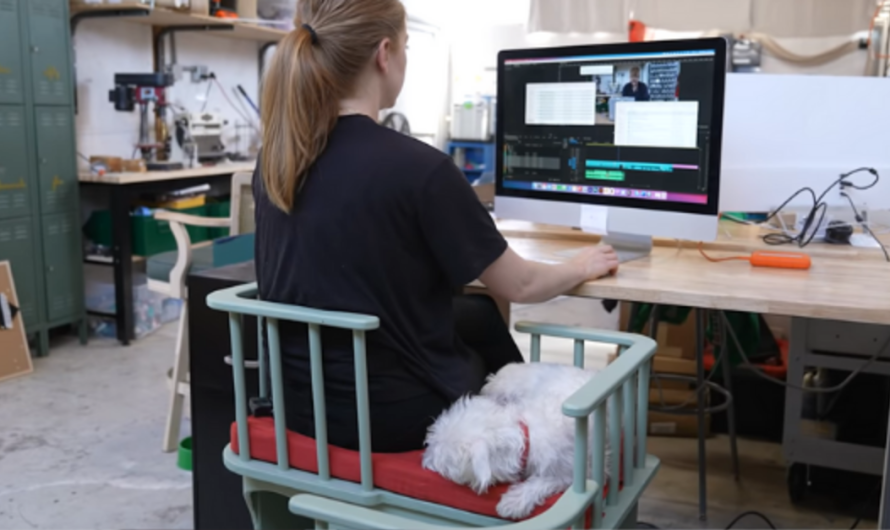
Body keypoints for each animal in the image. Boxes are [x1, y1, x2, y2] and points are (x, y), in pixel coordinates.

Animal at [420, 360, 608, 516]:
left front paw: (514, 502)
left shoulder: (572, 472)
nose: (423, 460)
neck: (527, 436)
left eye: (442, 461)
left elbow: (545, 481)